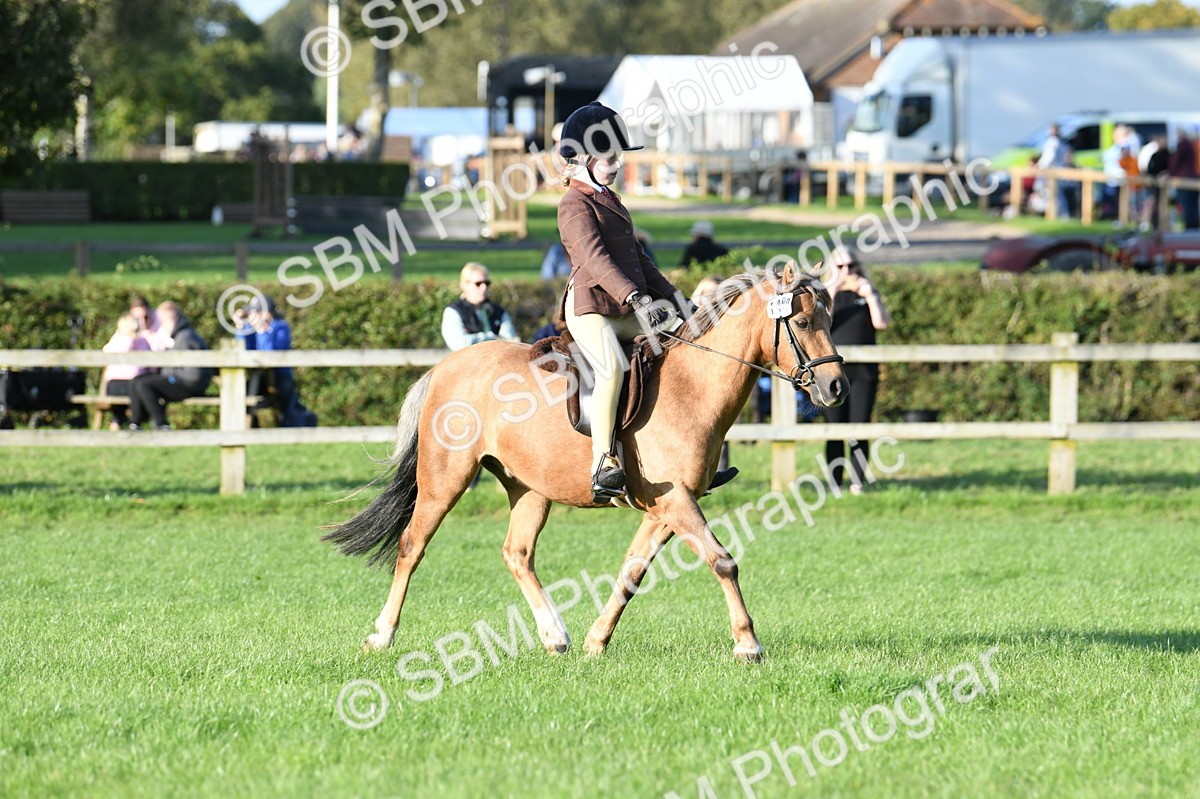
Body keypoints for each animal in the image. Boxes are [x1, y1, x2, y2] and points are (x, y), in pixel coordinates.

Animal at [324, 264, 847, 661]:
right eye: (803, 324)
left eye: (829, 319)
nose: (836, 387)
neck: (692, 387)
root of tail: (445, 368)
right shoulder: (678, 502)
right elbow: (723, 561)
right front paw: (748, 644)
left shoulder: (665, 509)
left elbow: (631, 572)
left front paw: (597, 641)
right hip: (445, 478)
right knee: (412, 546)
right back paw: (382, 635)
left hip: (530, 487)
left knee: (517, 553)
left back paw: (556, 636)